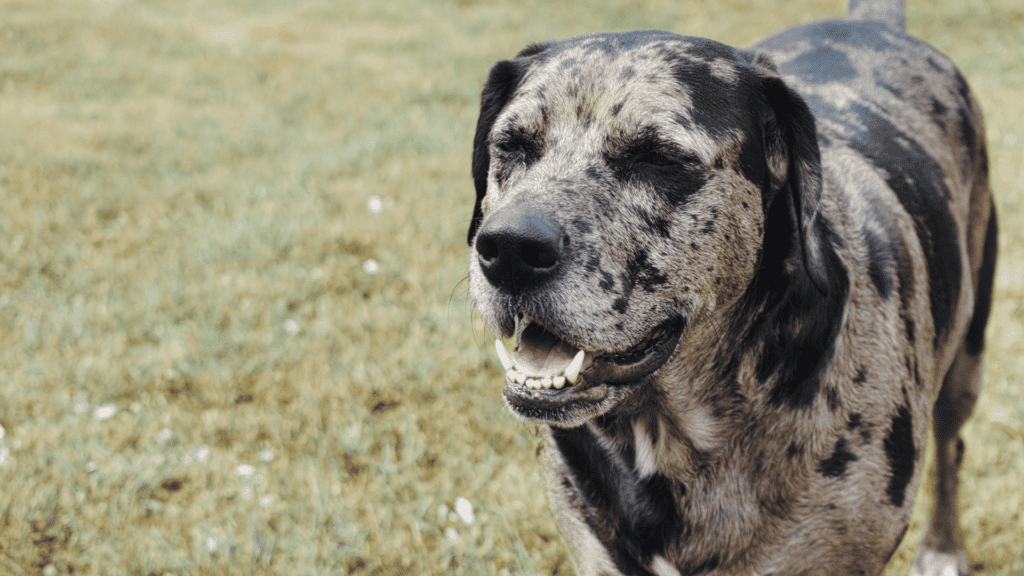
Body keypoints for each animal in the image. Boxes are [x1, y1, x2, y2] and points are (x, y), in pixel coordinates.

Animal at [468, 0, 995, 569]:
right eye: (512, 146)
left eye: (658, 158)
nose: (510, 249)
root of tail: (872, 23)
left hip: (967, 360)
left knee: (953, 446)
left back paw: (943, 546)